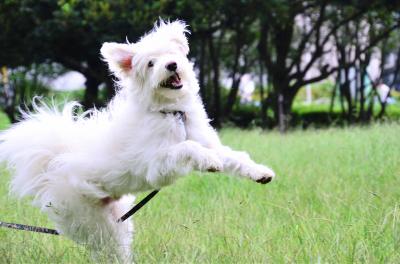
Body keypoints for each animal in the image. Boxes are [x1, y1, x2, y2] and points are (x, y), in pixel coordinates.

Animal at [0, 20, 276, 262]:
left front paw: (260, 172)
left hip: (117, 220)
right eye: (151, 64)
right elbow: (188, 147)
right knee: (104, 249)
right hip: (92, 222)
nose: (172, 65)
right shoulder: (157, 163)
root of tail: (53, 162)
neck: (172, 113)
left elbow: (234, 157)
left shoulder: (208, 142)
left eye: (171, 54)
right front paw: (208, 161)